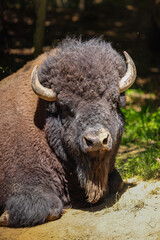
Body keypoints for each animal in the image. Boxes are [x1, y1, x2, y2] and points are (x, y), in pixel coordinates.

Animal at [0, 37, 136, 227]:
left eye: (114, 101)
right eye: (65, 108)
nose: (96, 141)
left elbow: (118, 183)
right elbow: (47, 208)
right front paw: (4, 217)